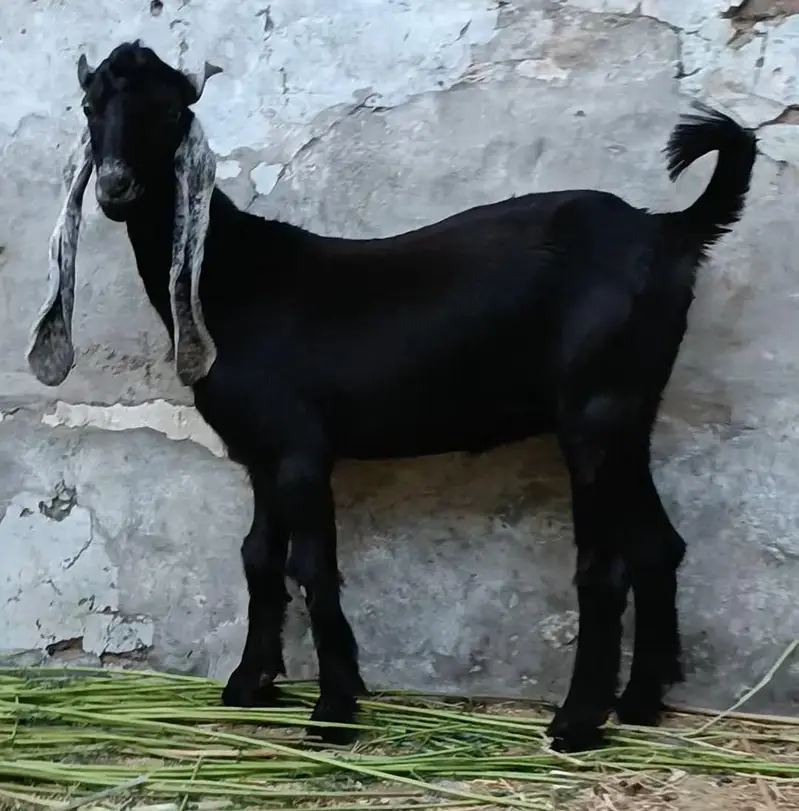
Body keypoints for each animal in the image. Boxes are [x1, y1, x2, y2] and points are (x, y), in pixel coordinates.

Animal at [28, 41, 757, 753]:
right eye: (90, 106)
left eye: (169, 111)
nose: (116, 187)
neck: (236, 278)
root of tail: (670, 230)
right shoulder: (259, 451)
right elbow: (258, 557)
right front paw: (250, 683)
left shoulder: (299, 446)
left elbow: (311, 565)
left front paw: (333, 709)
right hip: (628, 408)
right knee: (656, 545)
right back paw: (639, 705)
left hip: (593, 406)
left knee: (603, 566)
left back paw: (577, 722)